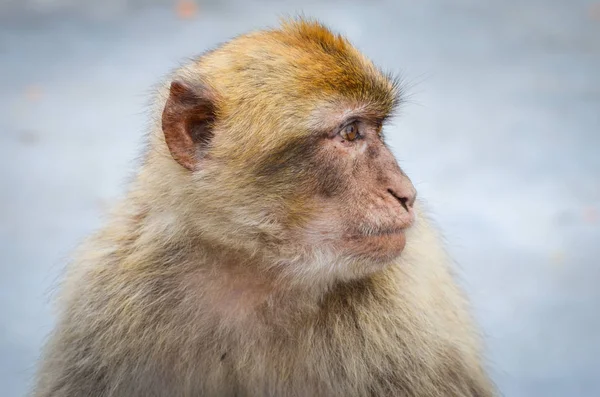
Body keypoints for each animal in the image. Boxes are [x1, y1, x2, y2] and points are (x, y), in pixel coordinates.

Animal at [31, 17, 496, 396]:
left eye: (376, 129)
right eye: (350, 132)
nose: (405, 192)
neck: (259, 272)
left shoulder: (412, 318)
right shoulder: (103, 300)